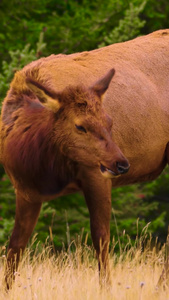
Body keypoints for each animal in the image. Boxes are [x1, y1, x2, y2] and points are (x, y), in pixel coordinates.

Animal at [0, 28, 169, 288]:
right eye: (80, 126)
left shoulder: (96, 174)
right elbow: (15, 246)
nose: (122, 163)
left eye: (110, 122)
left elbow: (100, 238)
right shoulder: (26, 189)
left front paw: (106, 289)